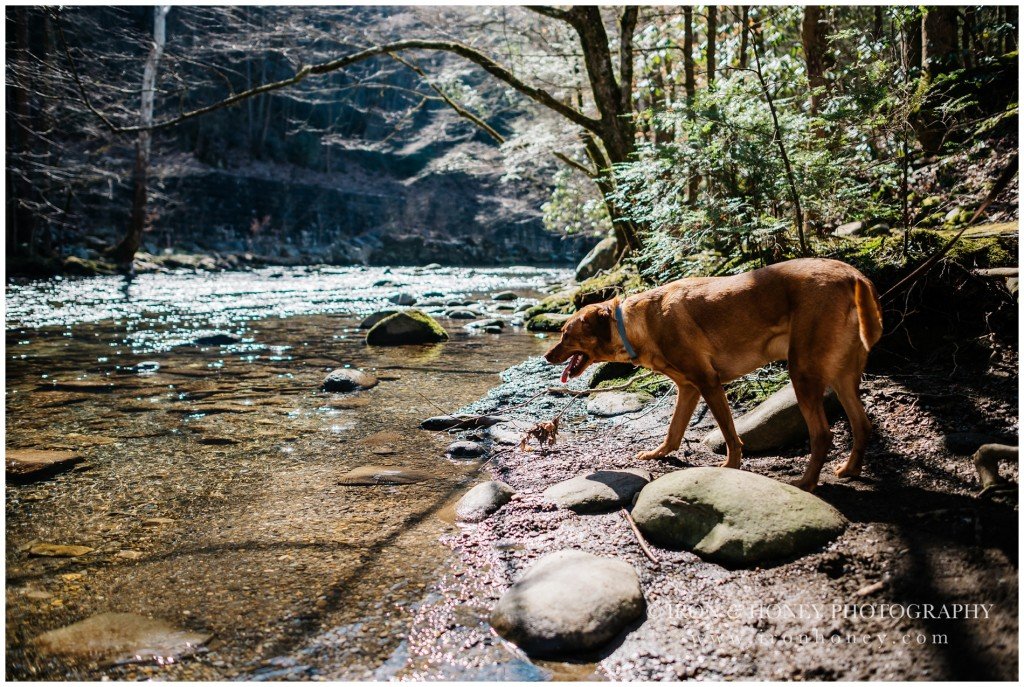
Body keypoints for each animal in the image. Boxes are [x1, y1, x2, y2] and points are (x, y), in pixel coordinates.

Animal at [548, 256, 884, 489]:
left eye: (565, 334)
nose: (547, 355)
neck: (636, 323)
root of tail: (852, 275)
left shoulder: (708, 382)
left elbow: (730, 433)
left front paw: (731, 466)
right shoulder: (688, 389)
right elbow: (674, 429)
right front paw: (658, 453)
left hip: (801, 372)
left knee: (823, 434)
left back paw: (806, 483)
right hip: (843, 379)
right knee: (862, 425)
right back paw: (850, 470)